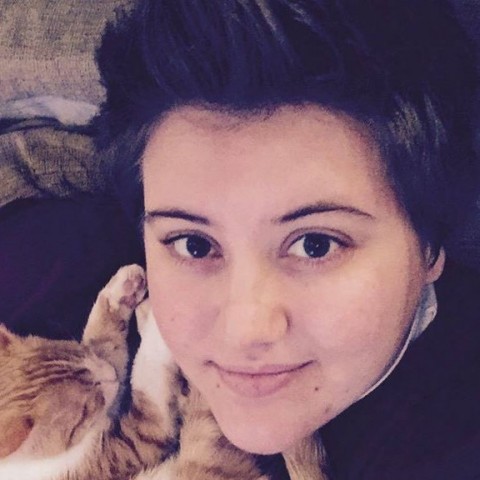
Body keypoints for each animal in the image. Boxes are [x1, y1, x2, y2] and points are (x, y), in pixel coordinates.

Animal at [0, 264, 327, 480]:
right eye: (84, 411)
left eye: (79, 352)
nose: (111, 376)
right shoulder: (132, 444)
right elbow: (144, 375)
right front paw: (157, 320)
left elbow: (107, 340)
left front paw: (122, 289)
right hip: (202, 445)